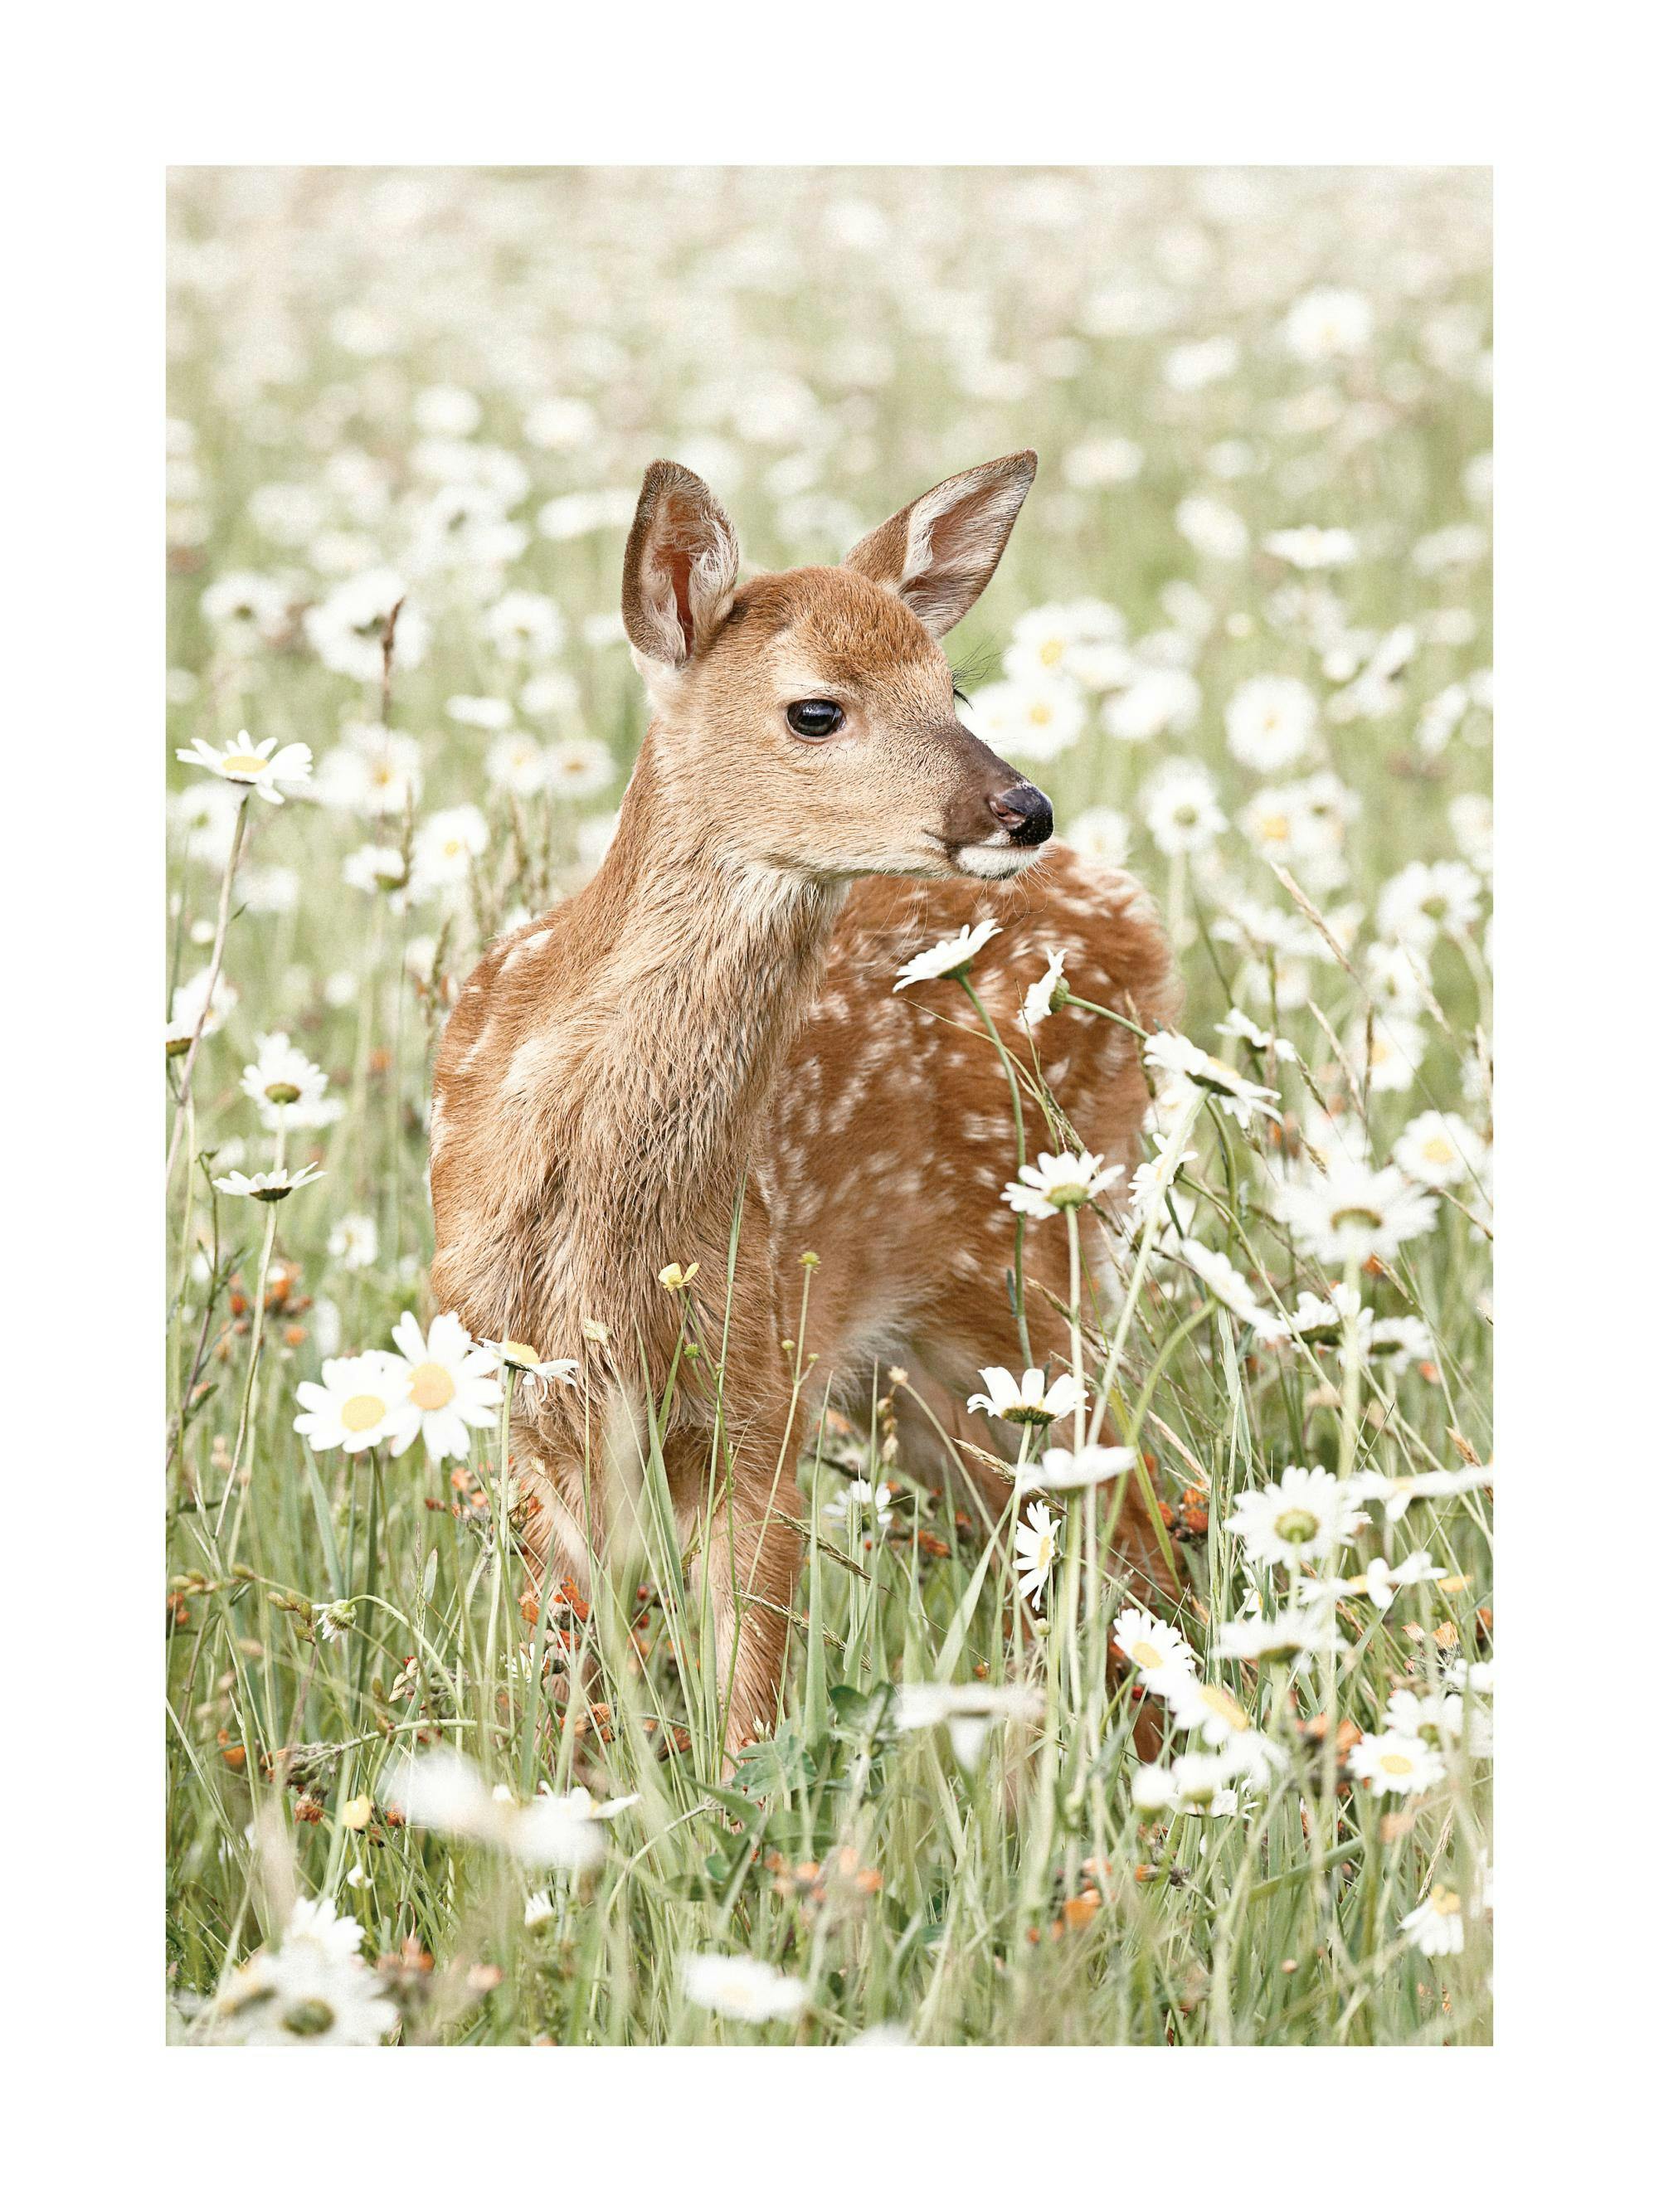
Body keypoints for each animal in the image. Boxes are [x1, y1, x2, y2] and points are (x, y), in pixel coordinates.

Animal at [428, 450, 1181, 1761]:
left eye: (950, 682)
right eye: (816, 710)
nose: (1023, 808)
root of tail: (1136, 913)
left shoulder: (763, 1387)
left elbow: (749, 1700)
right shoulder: (527, 1401)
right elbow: (565, 1676)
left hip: (1030, 1281)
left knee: (1130, 1516)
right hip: (927, 1373)